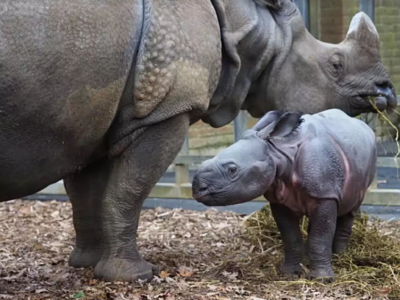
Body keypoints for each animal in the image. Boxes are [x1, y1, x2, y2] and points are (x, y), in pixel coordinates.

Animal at [192, 108, 376, 282]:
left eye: (232, 169)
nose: (197, 189)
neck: (276, 151)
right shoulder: (279, 199)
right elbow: (290, 237)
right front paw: (289, 273)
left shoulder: (325, 193)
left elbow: (320, 237)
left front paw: (322, 279)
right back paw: (312, 259)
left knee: (350, 209)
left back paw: (340, 257)